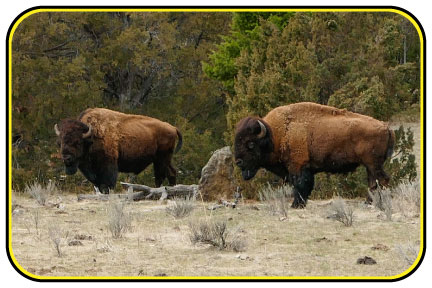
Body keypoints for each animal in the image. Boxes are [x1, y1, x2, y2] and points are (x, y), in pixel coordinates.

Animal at [54, 108, 182, 194]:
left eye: (77, 142)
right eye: (59, 143)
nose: (66, 158)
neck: (91, 136)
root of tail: (173, 127)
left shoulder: (108, 164)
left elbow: (107, 183)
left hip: (161, 159)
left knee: (160, 176)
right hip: (164, 159)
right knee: (171, 173)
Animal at [233, 101, 394, 207]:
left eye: (250, 144)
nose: (238, 162)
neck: (276, 135)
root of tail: (386, 127)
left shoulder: (298, 166)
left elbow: (300, 185)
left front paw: (296, 205)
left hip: (373, 164)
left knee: (381, 180)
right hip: (370, 165)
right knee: (374, 182)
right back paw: (368, 202)